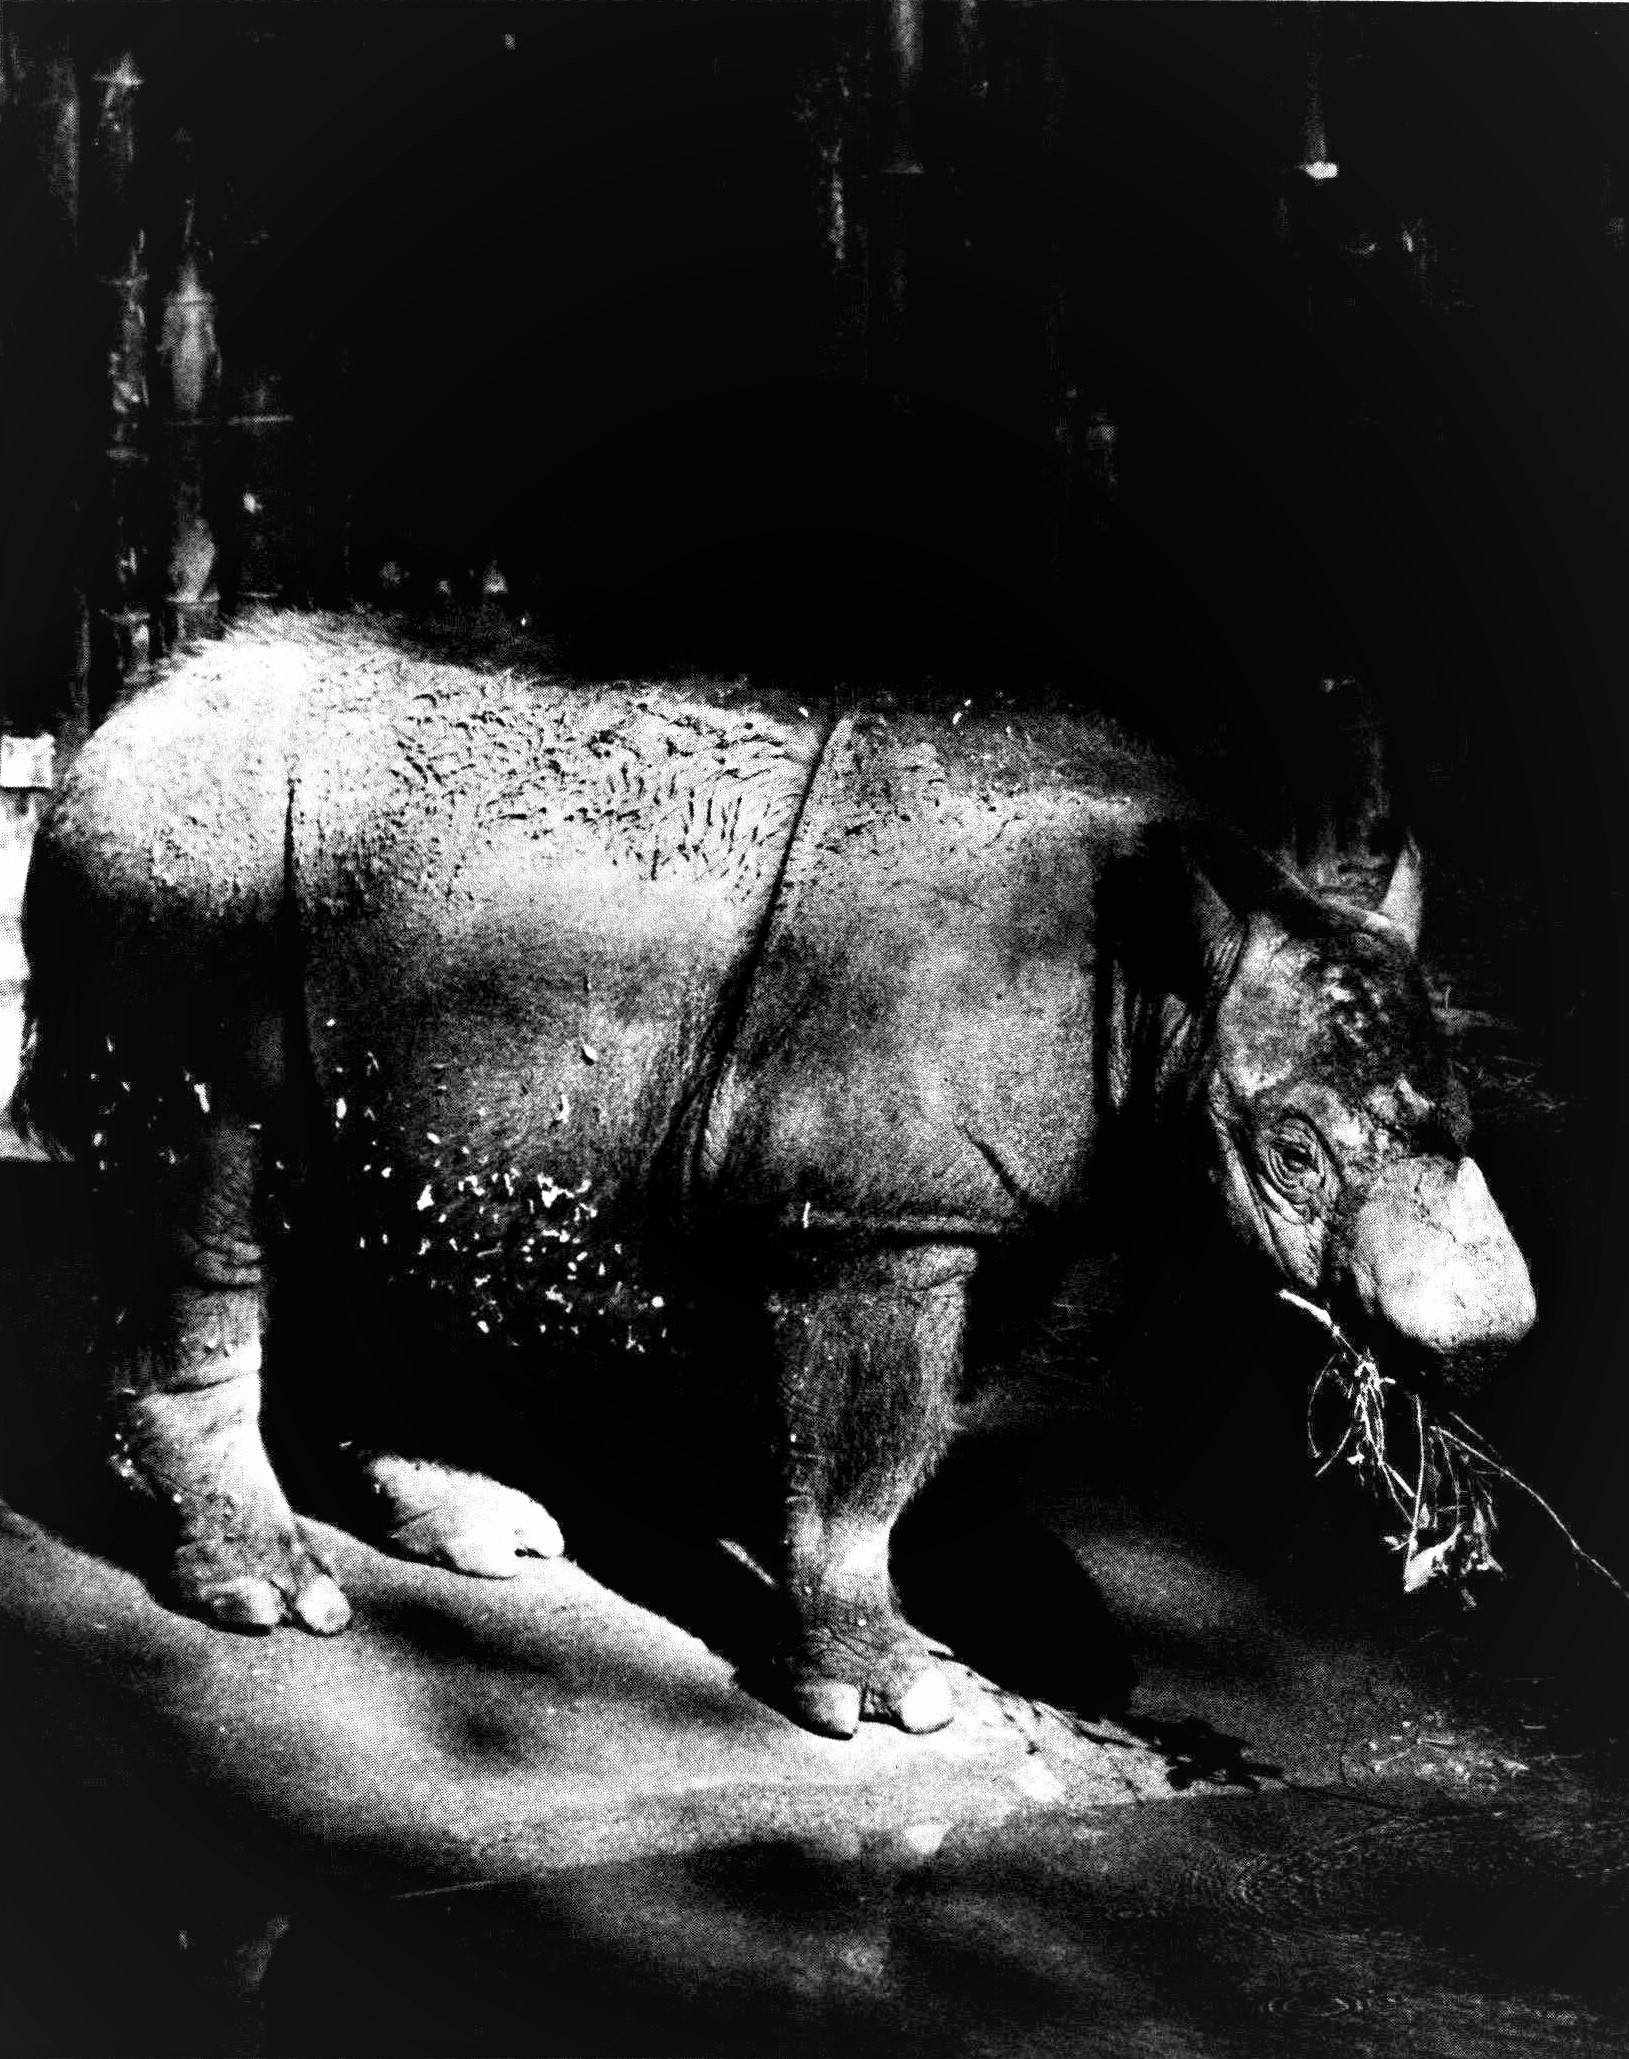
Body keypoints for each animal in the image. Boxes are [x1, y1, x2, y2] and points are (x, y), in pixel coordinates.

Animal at [15, 613, 1536, 1738]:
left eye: (1467, 1120)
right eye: (1291, 1154)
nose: (1487, 1329)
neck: (1158, 988)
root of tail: (115, 728)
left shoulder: (967, 1206)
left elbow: (905, 1446)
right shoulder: (875, 1218)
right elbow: (867, 1451)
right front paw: (893, 1693)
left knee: (366, 1185)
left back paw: (482, 1524)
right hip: (192, 875)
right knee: (215, 1177)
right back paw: (276, 1593)